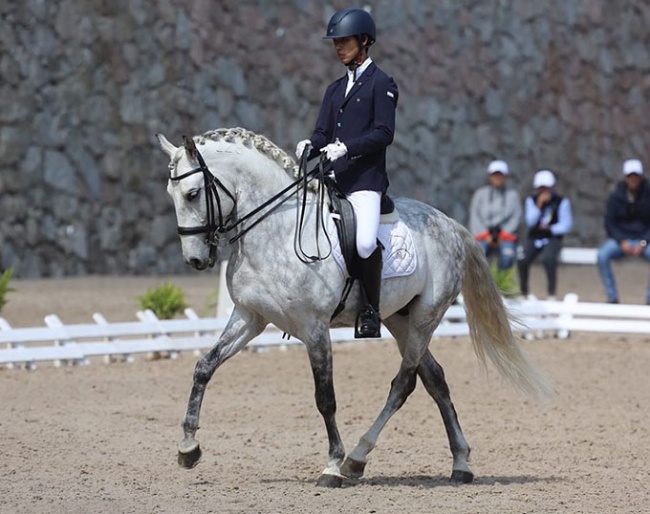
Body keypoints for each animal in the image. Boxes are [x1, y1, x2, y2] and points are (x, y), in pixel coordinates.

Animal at [156, 126, 548, 486]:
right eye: (170, 194)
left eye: (193, 193)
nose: (195, 260)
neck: (276, 230)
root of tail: (451, 224)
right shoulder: (250, 317)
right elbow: (204, 367)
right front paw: (188, 447)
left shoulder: (314, 327)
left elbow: (325, 397)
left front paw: (331, 465)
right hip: (399, 319)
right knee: (435, 378)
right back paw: (460, 463)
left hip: (426, 316)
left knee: (404, 383)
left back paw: (357, 458)